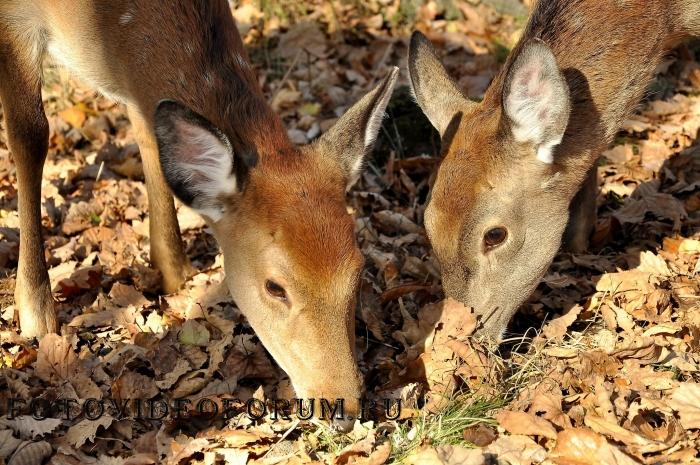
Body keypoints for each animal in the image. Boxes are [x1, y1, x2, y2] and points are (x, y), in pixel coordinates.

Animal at [0, 0, 396, 424]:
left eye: (358, 270)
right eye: (275, 286)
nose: (344, 405)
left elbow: (149, 137)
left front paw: (175, 274)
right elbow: (30, 134)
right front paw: (36, 314)